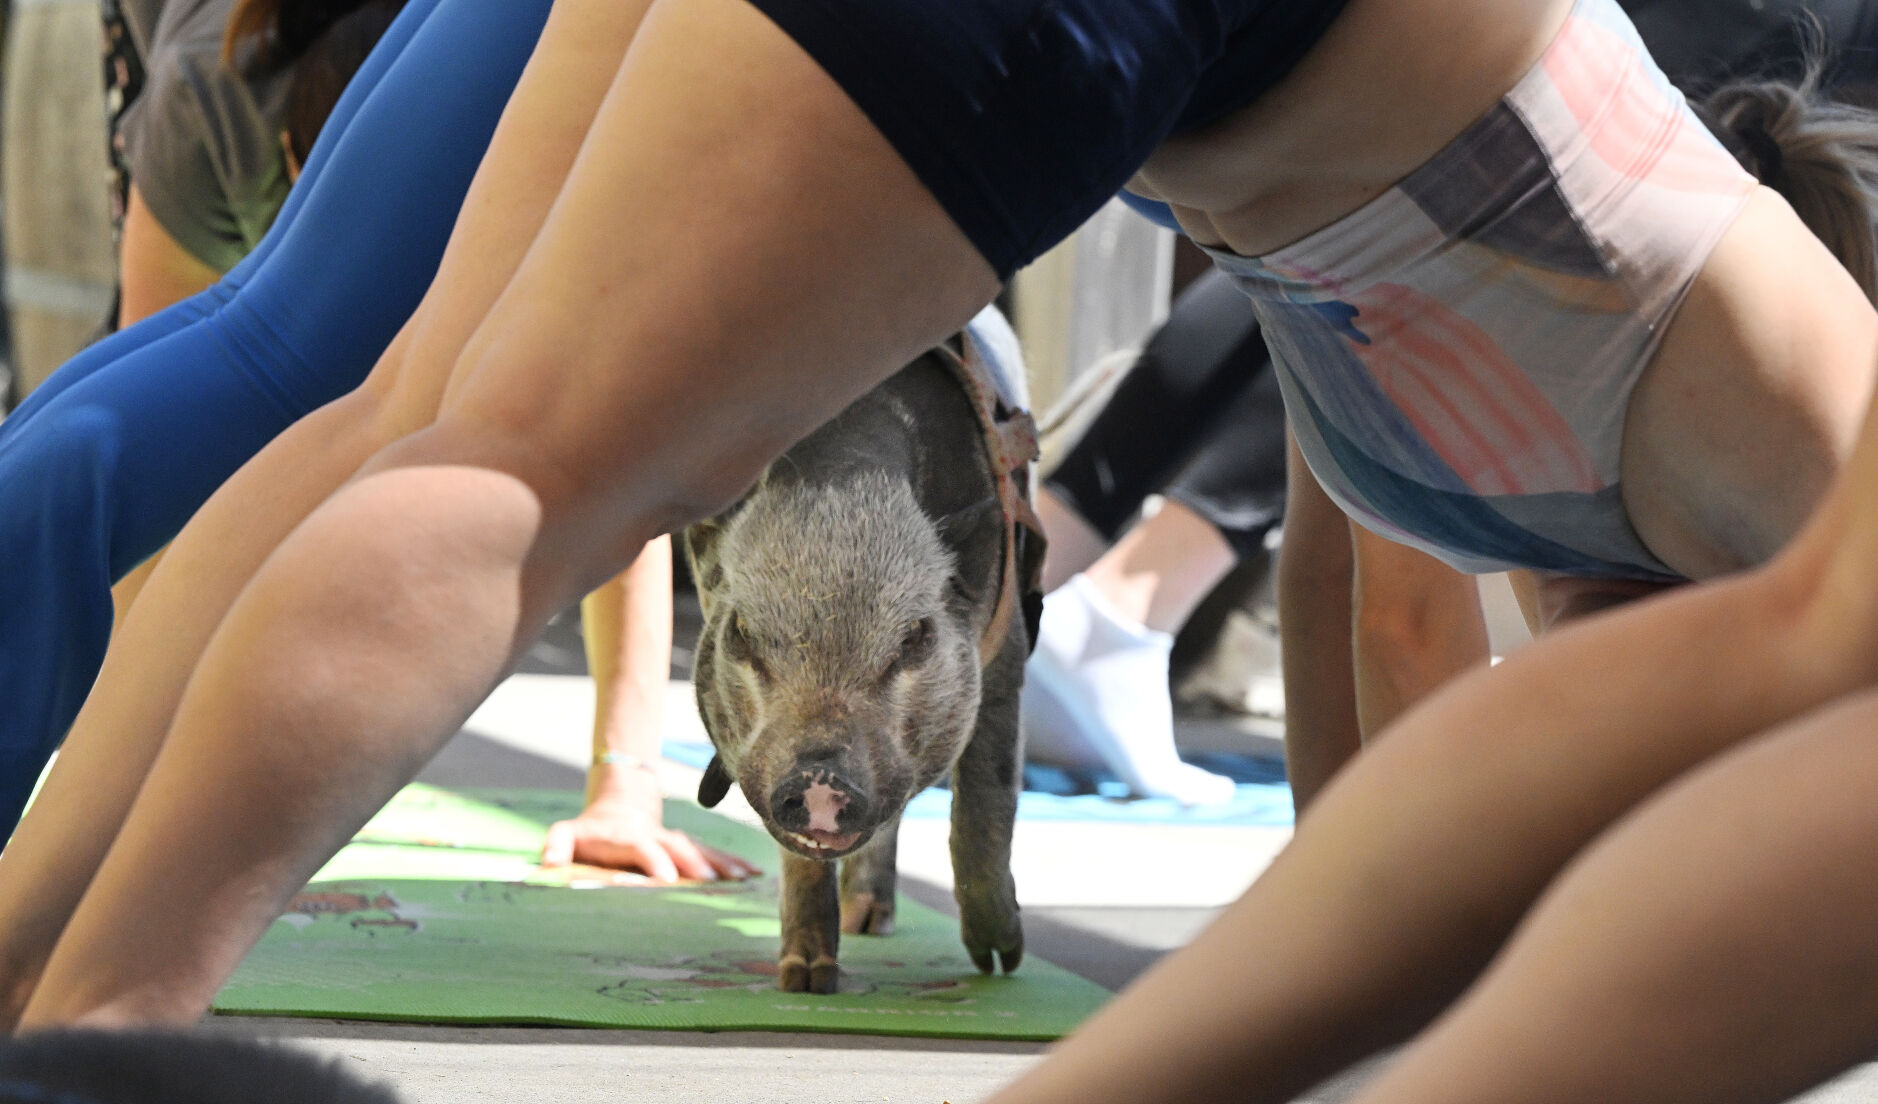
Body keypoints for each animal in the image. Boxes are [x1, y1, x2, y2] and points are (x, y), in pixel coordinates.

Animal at [683, 320, 1044, 995]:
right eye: (741, 631)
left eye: (914, 637)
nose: (820, 781)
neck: (847, 486)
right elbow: (797, 859)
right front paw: (805, 981)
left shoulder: (1006, 657)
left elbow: (985, 809)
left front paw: (1000, 964)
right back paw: (856, 927)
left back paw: (878, 925)